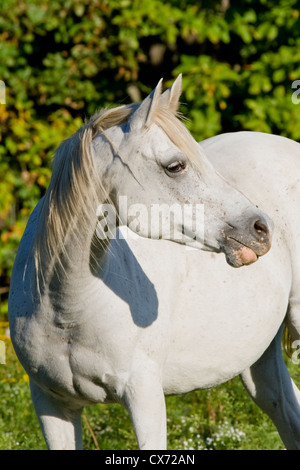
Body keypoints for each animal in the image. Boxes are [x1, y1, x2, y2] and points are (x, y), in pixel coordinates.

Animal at [7, 75, 300, 450]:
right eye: (175, 166)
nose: (261, 229)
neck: (66, 306)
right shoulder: (51, 404)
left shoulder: (144, 398)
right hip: (259, 360)